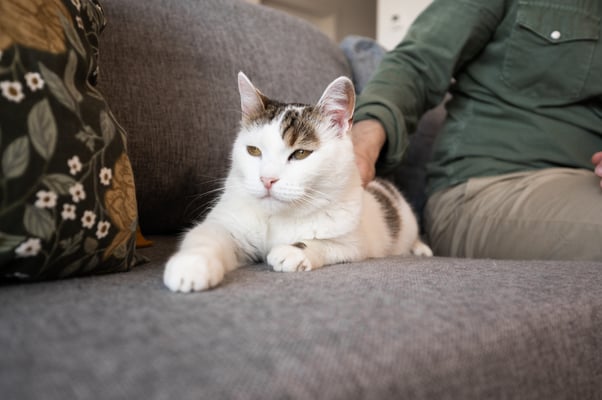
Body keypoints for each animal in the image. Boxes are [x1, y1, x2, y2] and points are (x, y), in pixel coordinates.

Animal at [162, 72, 428, 292]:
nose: (267, 179)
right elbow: (205, 237)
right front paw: (191, 265)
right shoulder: (226, 225)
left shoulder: (356, 242)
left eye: (300, 154)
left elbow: (327, 243)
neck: (276, 218)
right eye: (253, 151)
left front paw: (293, 251)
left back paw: (421, 249)